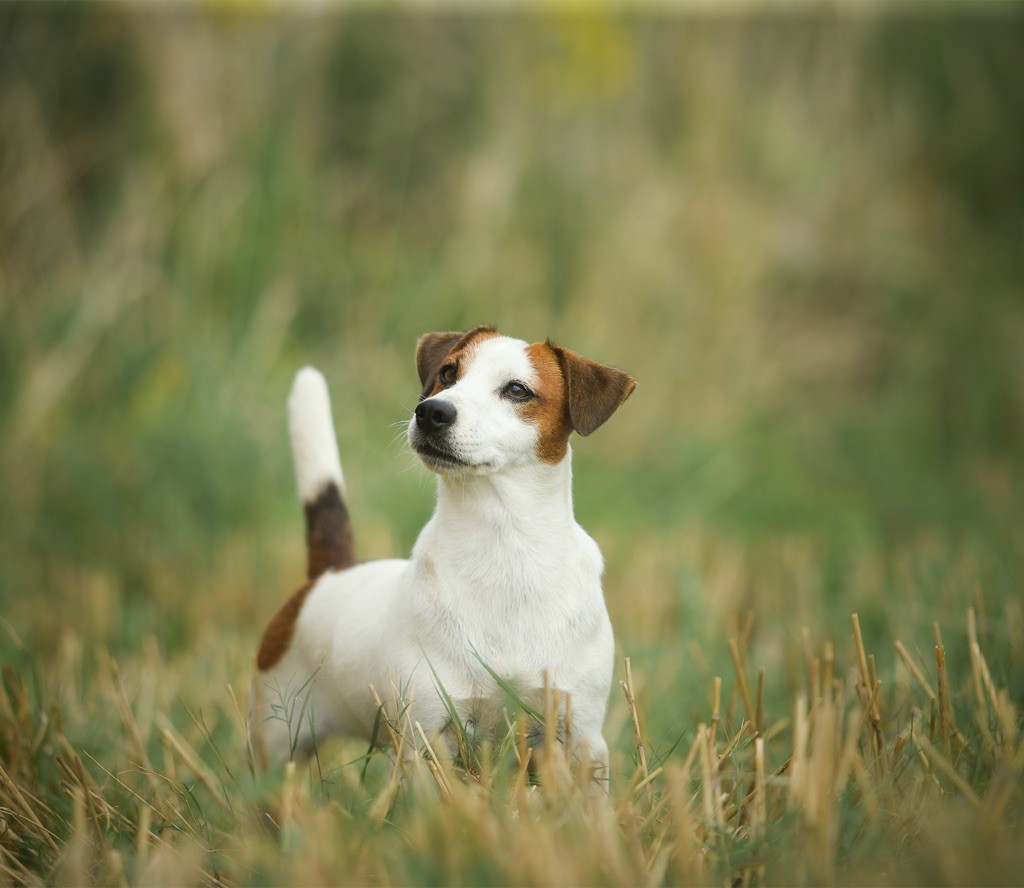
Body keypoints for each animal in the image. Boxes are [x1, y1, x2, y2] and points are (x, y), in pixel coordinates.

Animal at [249, 325, 630, 778]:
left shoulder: (580, 739)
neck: (503, 548)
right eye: (448, 373)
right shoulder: (427, 737)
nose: (431, 411)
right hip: (277, 740)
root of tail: (331, 572)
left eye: (517, 390)